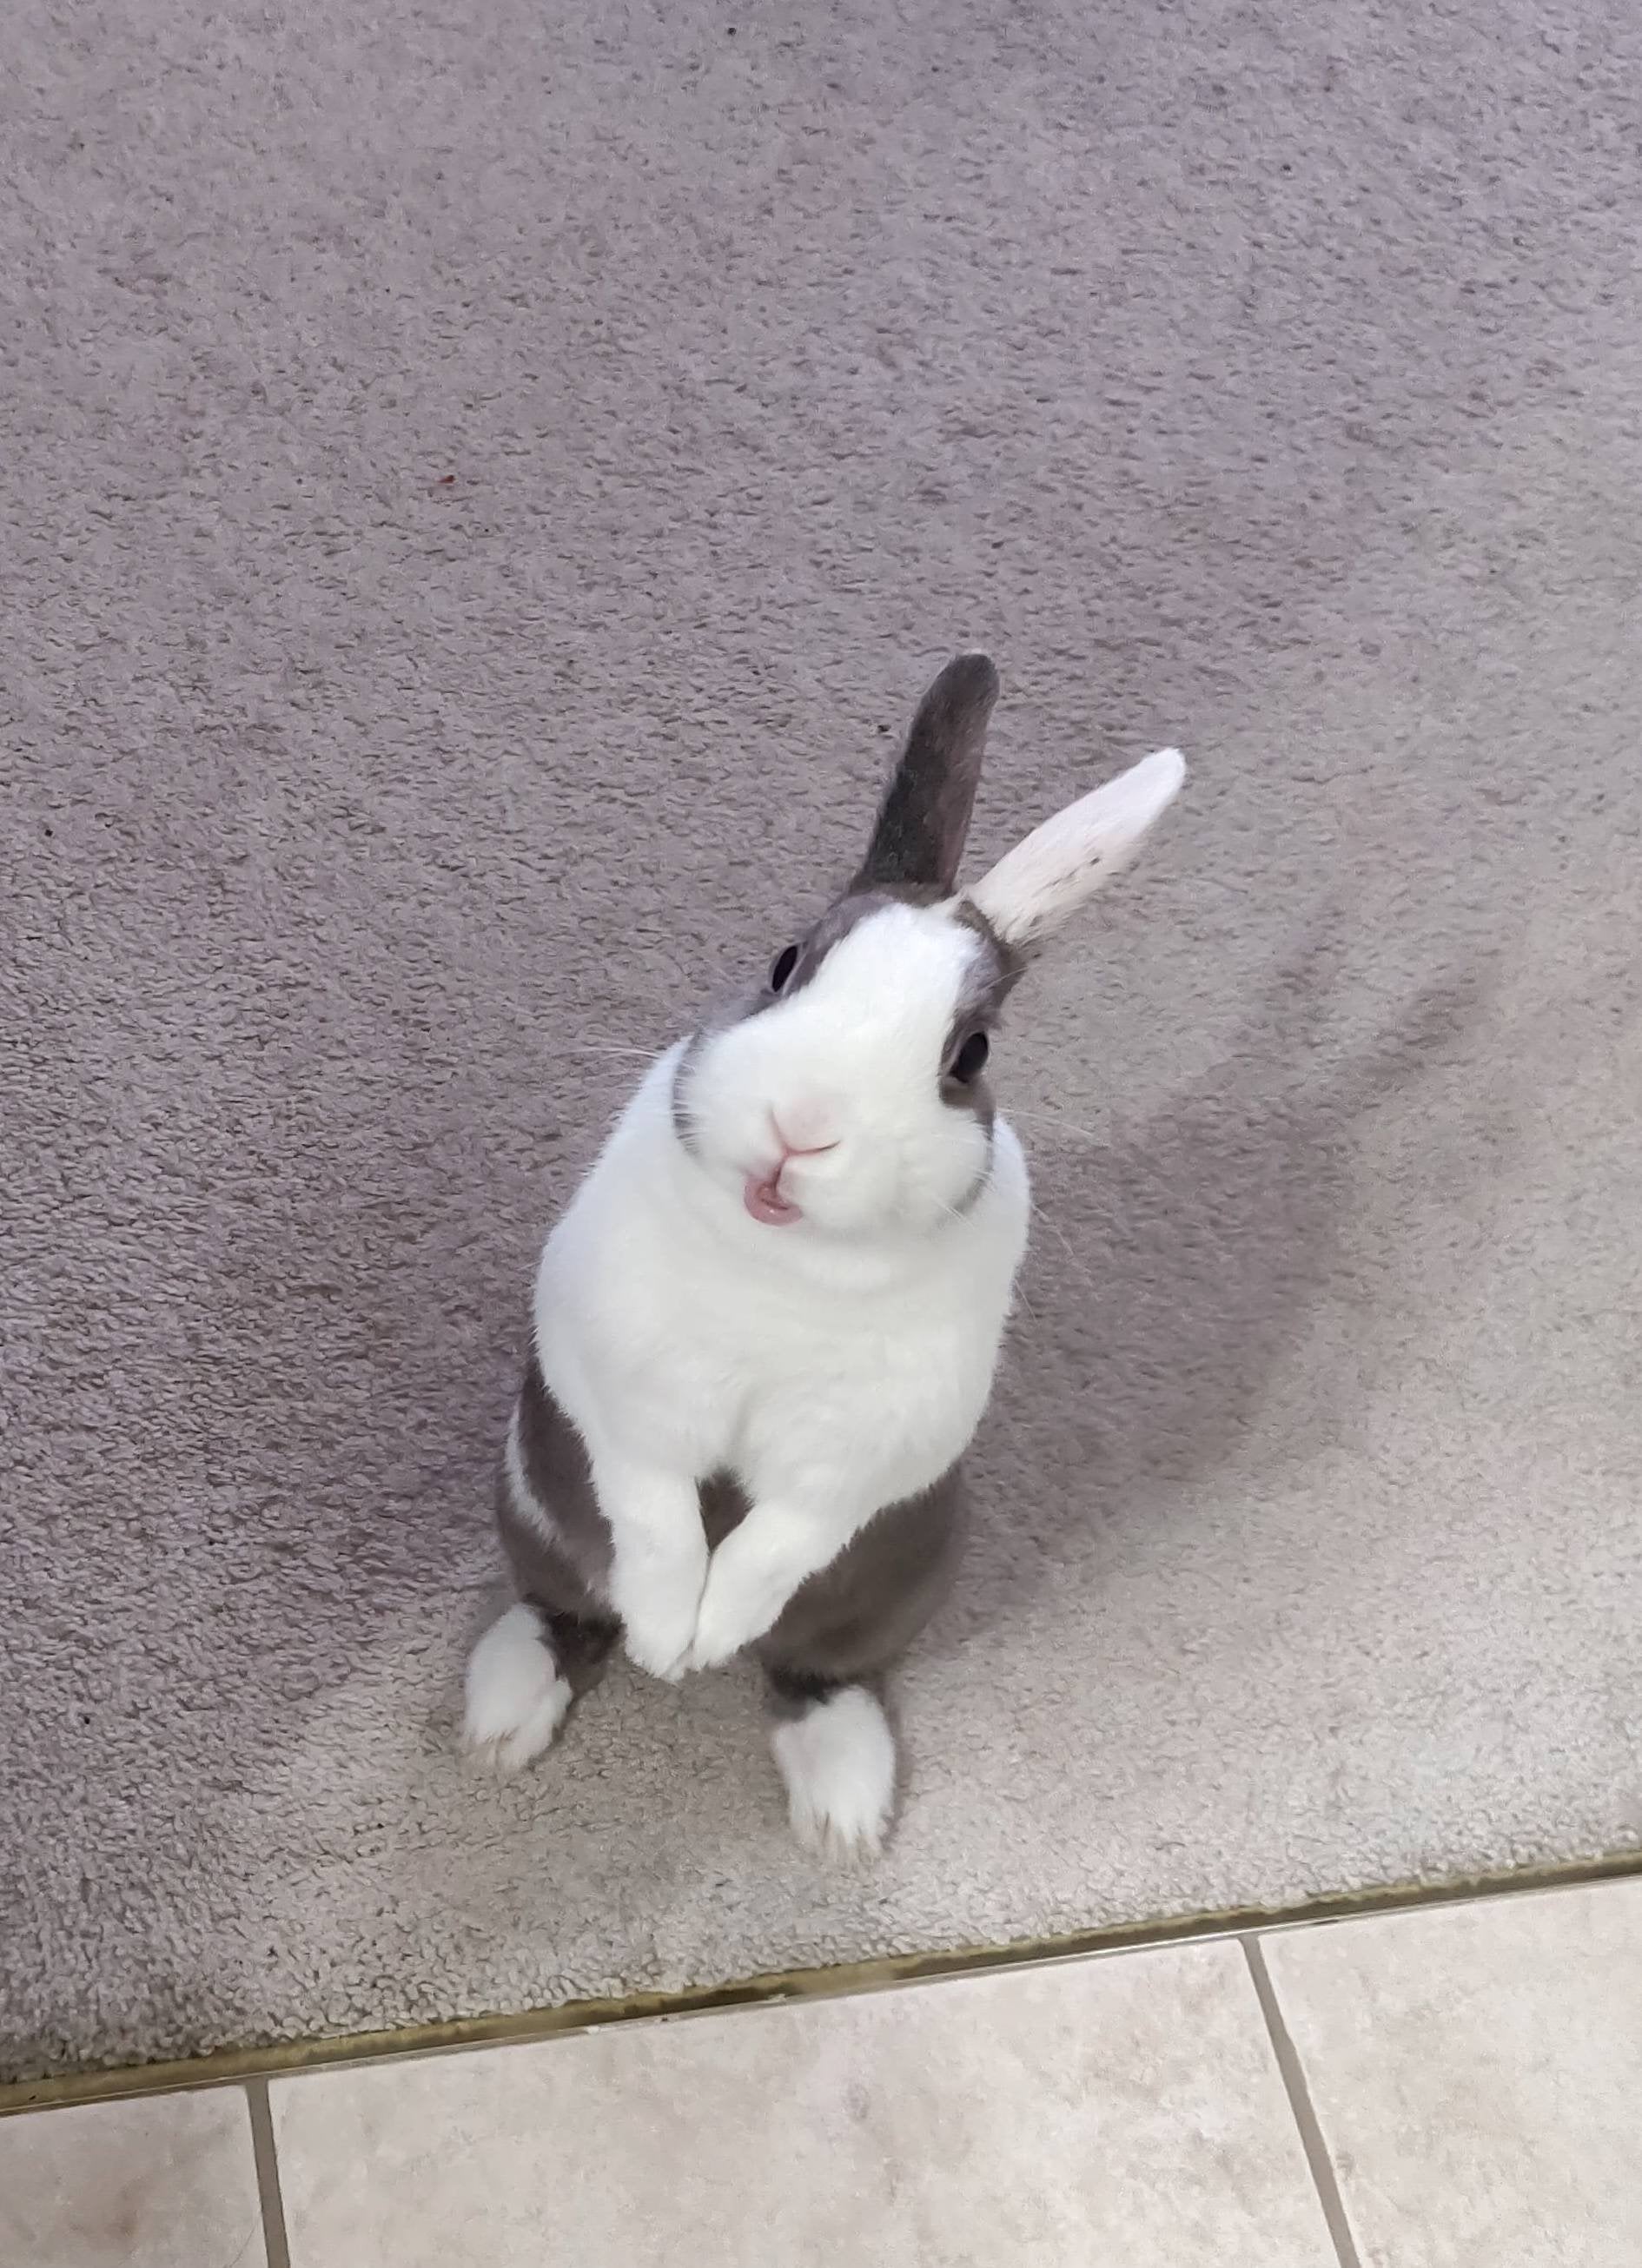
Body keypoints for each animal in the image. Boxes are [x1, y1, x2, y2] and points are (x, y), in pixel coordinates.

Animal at [463, 652, 1185, 1856]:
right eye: (786, 961)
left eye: (968, 1054)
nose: (801, 1124)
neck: (782, 1261)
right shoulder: (625, 1391)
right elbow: (656, 1514)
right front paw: (667, 1636)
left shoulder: (858, 1455)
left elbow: (777, 1540)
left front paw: (704, 1639)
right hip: (533, 1513)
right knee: (565, 1608)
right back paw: (501, 1721)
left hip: (896, 1583)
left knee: (813, 1670)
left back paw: (843, 1813)